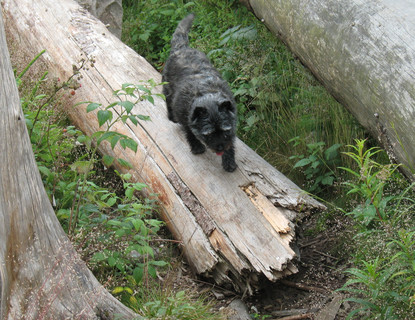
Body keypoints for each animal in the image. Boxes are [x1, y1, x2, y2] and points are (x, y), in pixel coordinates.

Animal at [162, 13, 237, 172]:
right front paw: (196, 147)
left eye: (225, 131)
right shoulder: (185, 117)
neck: (206, 94)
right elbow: (189, 131)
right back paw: (171, 117)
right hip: (167, 89)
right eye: (209, 134)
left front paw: (229, 161)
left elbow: (232, 141)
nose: (220, 147)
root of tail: (182, 47)